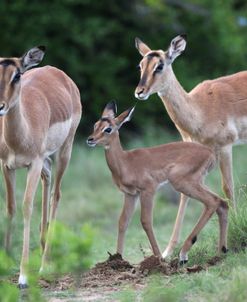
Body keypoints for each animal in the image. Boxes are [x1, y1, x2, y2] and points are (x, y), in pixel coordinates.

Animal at [0, 46, 81, 286]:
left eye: (17, 75)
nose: (1, 106)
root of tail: (58, 73)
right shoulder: (7, 166)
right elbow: (10, 208)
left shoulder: (32, 164)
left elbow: (27, 207)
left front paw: (23, 275)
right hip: (46, 159)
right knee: (48, 178)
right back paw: (44, 248)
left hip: (65, 150)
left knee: (56, 194)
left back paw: (45, 264)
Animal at [86, 102, 228, 264]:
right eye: (95, 125)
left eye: (108, 129)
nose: (90, 139)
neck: (125, 162)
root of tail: (210, 153)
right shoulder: (131, 194)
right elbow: (123, 222)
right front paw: (117, 260)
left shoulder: (148, 190)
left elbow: (146, 221)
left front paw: (159, 259)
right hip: (197, 182)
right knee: (222, 202)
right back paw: (221, 252)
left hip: (181, 182)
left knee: (212, 201)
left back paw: (183, 255)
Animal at [134, 34, 244, 258]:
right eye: (140, 65)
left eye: (160, 65)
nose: (140, 92)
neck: (200, 109)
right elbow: (184, 197)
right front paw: (168, 252)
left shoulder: (225, 147)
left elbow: (227, 187)